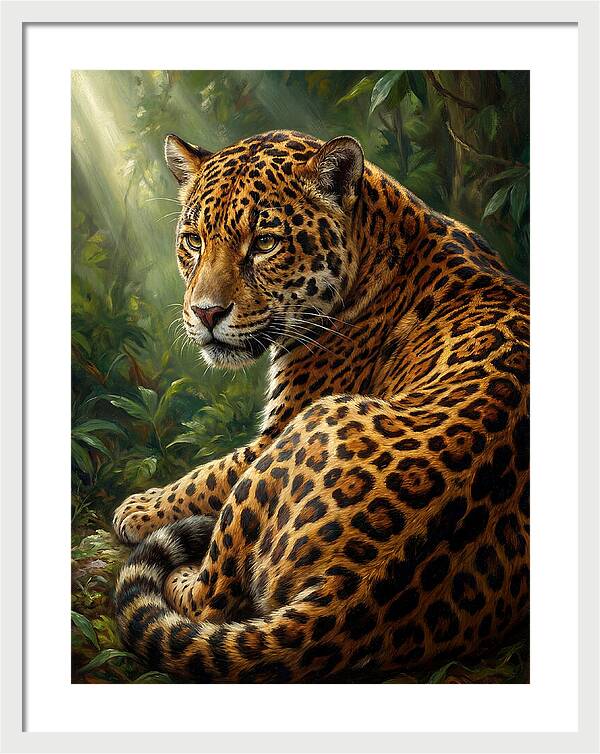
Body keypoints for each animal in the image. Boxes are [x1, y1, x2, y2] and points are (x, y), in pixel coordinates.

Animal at [113, 129, 529, 683]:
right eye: (194, 240)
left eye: (265, 243)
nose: (205, 313)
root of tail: (350, 592)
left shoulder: (279, 427)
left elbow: (208, 475)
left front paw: (139, 508)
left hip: (305, 429)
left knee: (211, 599)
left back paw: (182, 571)